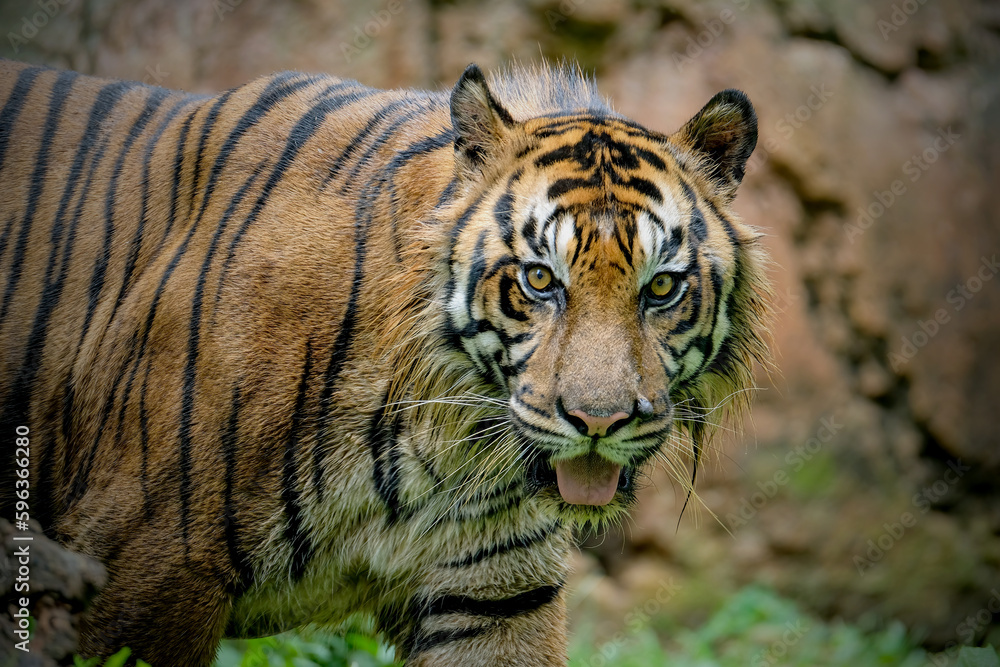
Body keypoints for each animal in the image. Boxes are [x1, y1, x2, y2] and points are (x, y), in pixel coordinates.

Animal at [0, 58, 770, 665]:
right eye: (539, 280)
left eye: (661, 287)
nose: (600, 422)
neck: (443, 443)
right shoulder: (148, 560)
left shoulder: (496, 596)